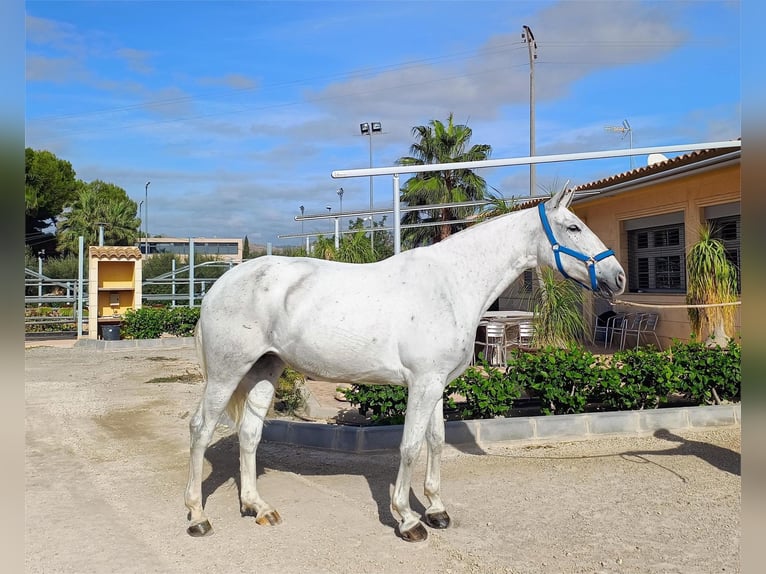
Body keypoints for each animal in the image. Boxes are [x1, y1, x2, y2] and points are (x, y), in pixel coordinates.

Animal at [183, 186, 628, 544]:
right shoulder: (423, 383)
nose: (618, 277)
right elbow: (410, 446)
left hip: (264, 370)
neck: (449, 285)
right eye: (573, 228)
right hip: (226, 374)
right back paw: (198, 516)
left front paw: (436, 510)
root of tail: (219, 286)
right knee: (201, 429)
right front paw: (408, 519)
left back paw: (257, 507)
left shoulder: (437, 384)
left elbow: (436, 441)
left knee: (249, 434)